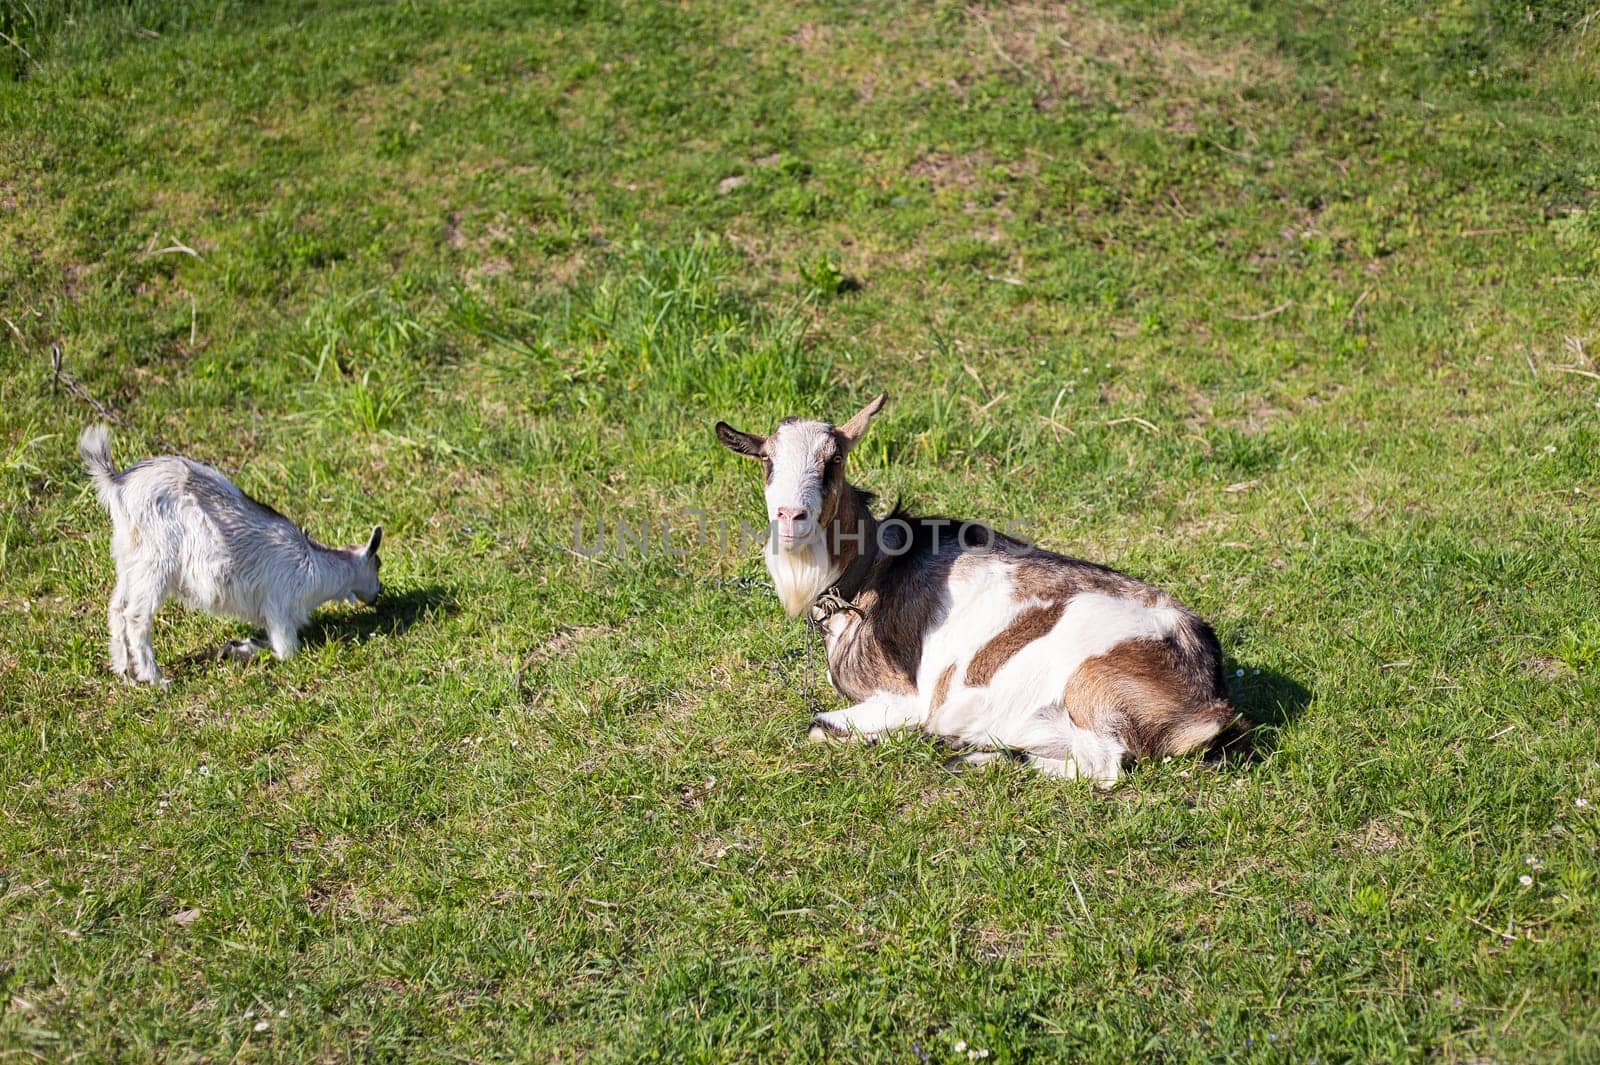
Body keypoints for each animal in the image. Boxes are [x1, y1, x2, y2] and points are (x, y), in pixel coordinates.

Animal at [720, 393, 1254, 777]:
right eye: (768, 462)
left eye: (833, 462)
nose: (790, 515)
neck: (870, 572)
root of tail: (1209, 693)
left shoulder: (903, 696)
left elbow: (818, 724)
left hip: (1093, 687)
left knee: (1104, 766)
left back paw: (969, 753)